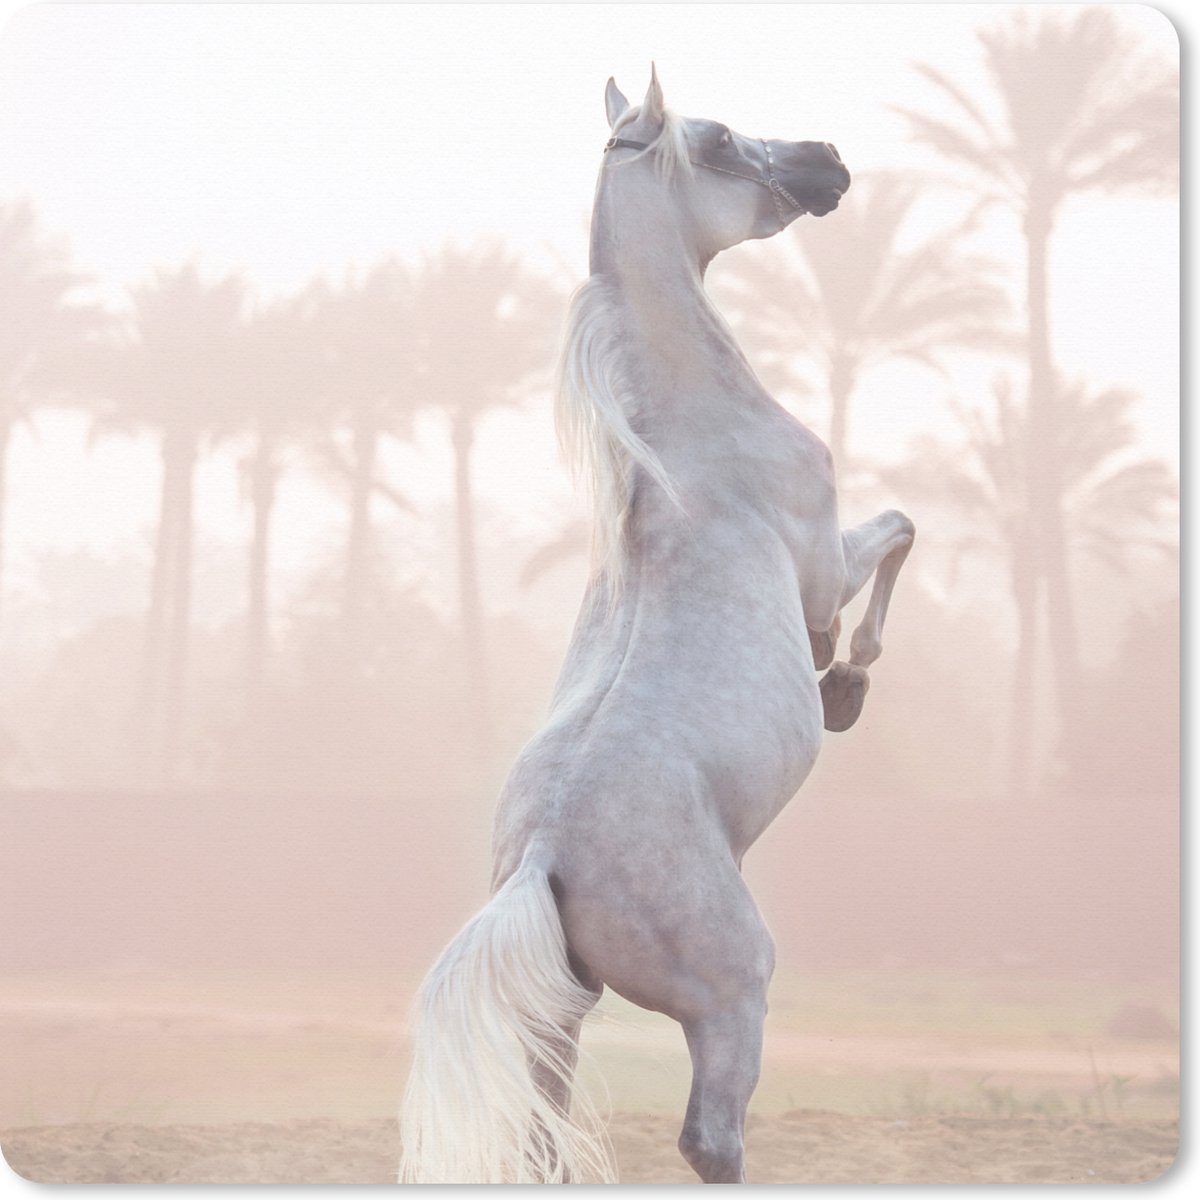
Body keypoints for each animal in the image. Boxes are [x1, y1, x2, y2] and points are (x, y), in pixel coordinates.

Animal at [400, 67, 914, 1184]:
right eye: (717, 141)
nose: (827, 160)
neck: (687, 446)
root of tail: (545, 858)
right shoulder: (823, 571)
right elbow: (898, 535)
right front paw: (844, 686)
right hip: (732, 996)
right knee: (710, 1139)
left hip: (558, 1018)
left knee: (543, 1139)